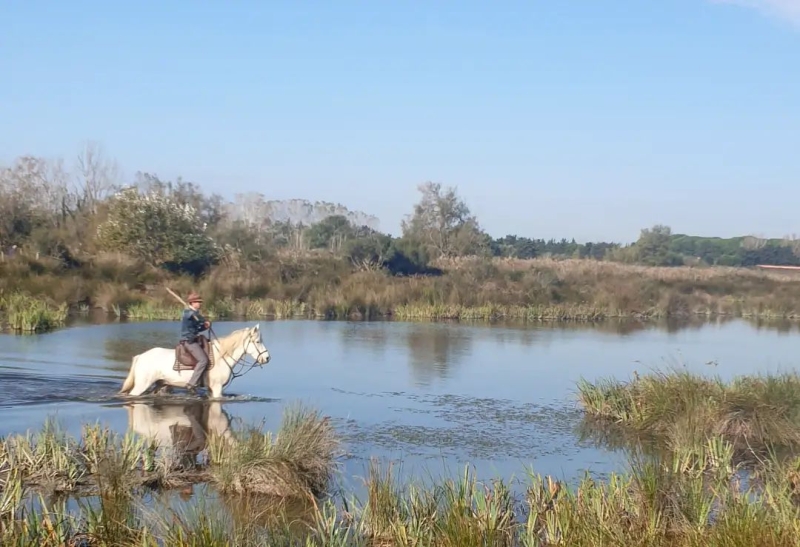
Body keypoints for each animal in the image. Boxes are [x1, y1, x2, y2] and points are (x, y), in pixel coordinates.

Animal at [117, 326, 270, 398]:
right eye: (257, 341)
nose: (267, 358)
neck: (221, 357)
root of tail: (140, 356)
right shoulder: (217, 388)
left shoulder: (211, 389)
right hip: (142, 385)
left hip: (161, 385)